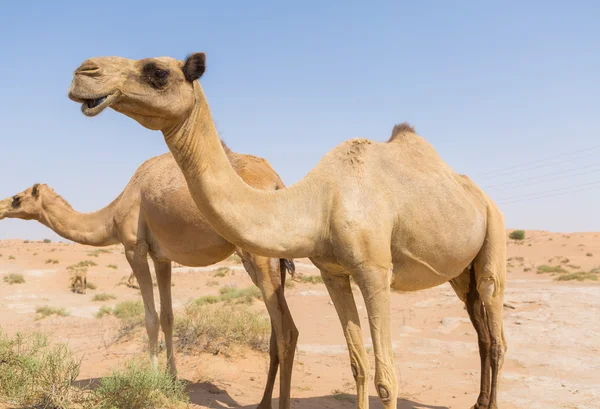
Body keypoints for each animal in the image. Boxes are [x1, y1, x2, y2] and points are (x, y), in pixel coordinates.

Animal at [0, 149, 298, 408]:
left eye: (17, 197)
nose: (1, 207)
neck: (112, 215)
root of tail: (276, 183)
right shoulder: (162, 257)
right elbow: (167, 316)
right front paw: (172, 379)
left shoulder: (135, 248)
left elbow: (150, 318)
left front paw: (153, 380)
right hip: (270, 257)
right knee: (275, 331)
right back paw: (262, 403)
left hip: (257, 252)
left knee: (287, 331)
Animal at [68, 52, 508, 408]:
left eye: (158, 72)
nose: (83, 72)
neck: (318, 203)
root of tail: (483, 198)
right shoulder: (333, 272)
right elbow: (358, 365)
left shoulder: (374, 271)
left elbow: (386, 379)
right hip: (460, 272)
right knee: (481, 329)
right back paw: (478, 401)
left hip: (494, 236)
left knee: (496, 330)